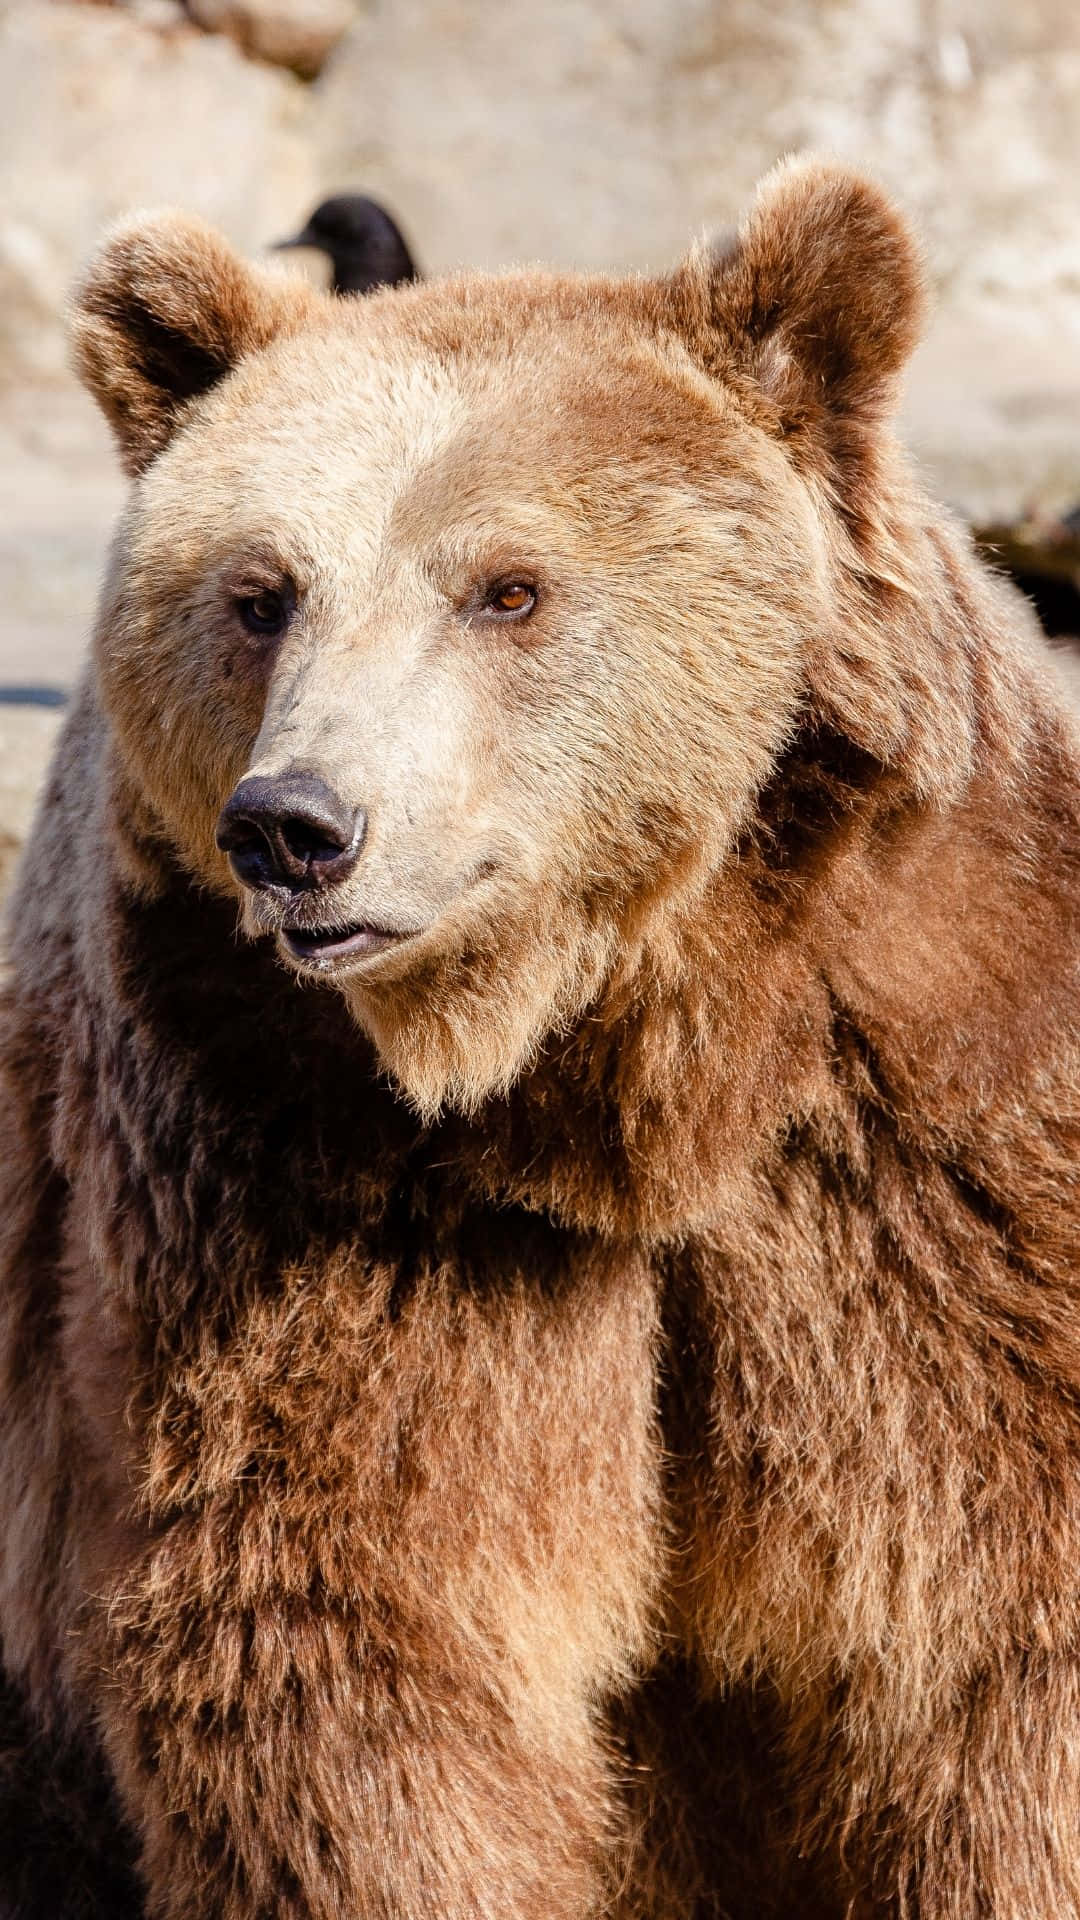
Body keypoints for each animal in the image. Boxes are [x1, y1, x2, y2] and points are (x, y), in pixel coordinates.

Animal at [1, 154, 1079, 1919]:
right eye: (261, 593)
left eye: (508, 588)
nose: (297, 828)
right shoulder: (303, 1182)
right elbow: (355, 1644)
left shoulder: (919, 1133)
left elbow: (990, 1626)